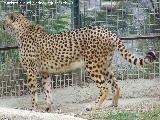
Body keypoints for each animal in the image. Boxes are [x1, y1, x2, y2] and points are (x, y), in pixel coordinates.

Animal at [1, 12, 156, 112]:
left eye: (4, 21)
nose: (1, 25)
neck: (21, 29)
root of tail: (107, 30)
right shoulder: (45, 72)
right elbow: (47, 90)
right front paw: (48, 107)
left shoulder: (31, 71)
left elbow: (33, 92)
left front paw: (33, 108)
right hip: (105, 65)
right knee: (116, 85)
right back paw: (113, 105)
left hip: (92, 65)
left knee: (104, 87)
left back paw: (94, 106)